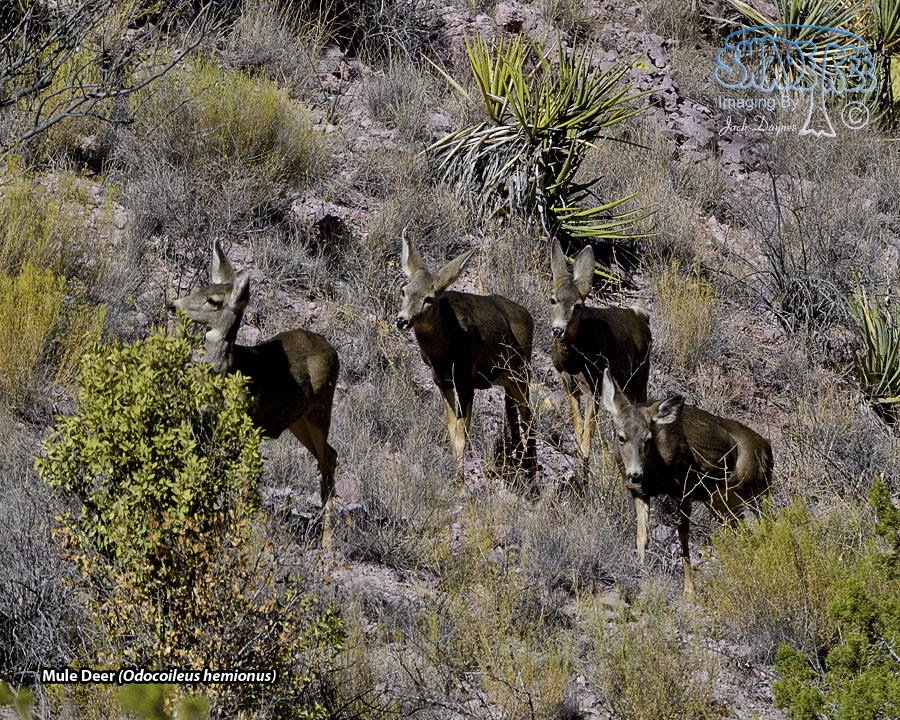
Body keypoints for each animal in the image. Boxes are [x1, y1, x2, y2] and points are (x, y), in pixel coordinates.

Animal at [171, 241, 340, 546]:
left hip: (322, 407)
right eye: (200, 287)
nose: (173, 304)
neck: (227, 371)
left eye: (213, 300)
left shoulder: (243, 425)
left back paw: (327, 541)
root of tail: (334, 351)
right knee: (329, 455)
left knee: (328, 458)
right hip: (297, 420)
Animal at [396, 231, 537, 482]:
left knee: (528, 414)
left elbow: (462, 433)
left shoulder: (465, 380)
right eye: (404, 290)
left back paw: (531, 472)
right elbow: (451, 429)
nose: (402, 320)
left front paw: (459, 482)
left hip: (521, 371)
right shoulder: (442, 381)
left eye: (429, 298)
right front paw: (455, 475)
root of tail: (528, 316)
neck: (444, 350)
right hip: (506, 377)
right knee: (512, 410)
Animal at [549, 240, 651, 482]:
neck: (574, 361)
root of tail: (642, 317)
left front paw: (583, 471)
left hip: (640, 376)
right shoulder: (569, 383)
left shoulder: (594, 383)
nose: (558, 330)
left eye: (578, 305)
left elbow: (589, 432)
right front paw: (580, 470)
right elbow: (578, 428)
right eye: (553, 299)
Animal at [600, 368, 773, 593]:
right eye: (621, 437)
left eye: (648, 438)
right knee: (744, 532)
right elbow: (642, 536)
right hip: (721, 500)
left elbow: (683, 539)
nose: (635, 475)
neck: (657, 469)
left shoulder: (685, 489)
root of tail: (767, 450)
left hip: (747, 491)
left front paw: (689, 590)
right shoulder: (640, 493)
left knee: (760, 528)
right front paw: (640, 575)